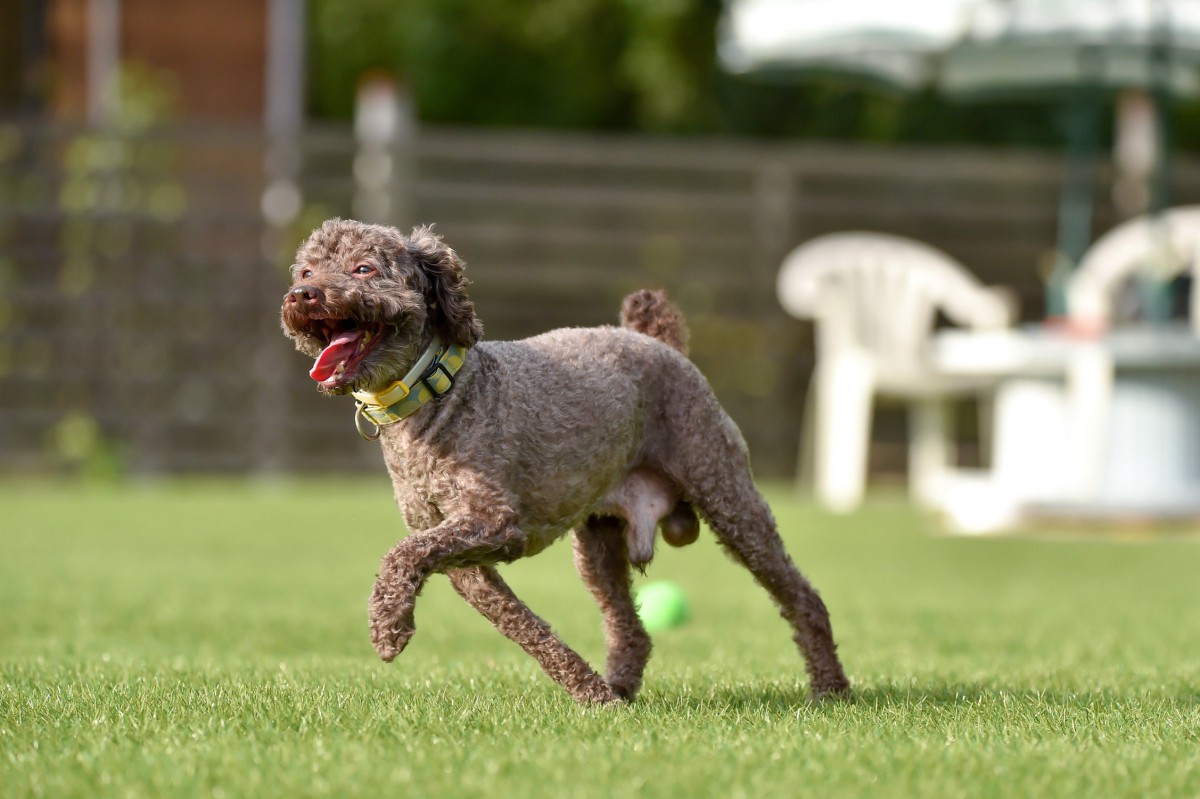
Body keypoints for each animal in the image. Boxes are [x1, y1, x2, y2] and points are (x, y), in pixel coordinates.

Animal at [278, 215, 854, 695]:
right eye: (307, 269)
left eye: (363, 268)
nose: (303, 294)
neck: (439, 393)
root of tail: (658, 342)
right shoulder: (463, 561)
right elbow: (523, 626)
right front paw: (590, 694)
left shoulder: (495, 521)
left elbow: (401, 554)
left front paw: (388, 627)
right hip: (597, 542)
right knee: (630, 627)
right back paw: (619, 690)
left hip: (727, 495)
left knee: (802, 596)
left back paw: (830, 686)